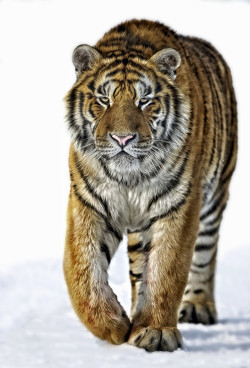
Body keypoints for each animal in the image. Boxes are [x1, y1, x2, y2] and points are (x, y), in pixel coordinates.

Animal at [63, 18, 237, 352]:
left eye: (144, 101)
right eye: (104, 100)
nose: (122, 139)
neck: (130, 178)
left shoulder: (179, 204)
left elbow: (167, 269)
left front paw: (155, 332)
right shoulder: (88, 202)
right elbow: (82, 271)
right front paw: (113, 326)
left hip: (215, 196)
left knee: (205, 253)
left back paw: (198, 308)